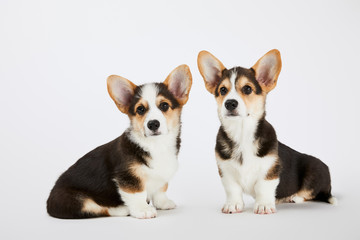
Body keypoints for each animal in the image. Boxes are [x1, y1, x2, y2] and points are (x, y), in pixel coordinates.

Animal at [46, 64, 193, 218]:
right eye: (140, 109)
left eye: (164, 105)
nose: (153, 124)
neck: (157, 145)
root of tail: (48, 203)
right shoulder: (127, 177)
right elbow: (137, 193)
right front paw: (143, 209)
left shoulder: (162, 176)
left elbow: (161, 189)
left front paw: (163, 203)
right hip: (75, 199)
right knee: (99, 208)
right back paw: (124, 209)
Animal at [197, 49, 334, 215]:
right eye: (223, 90)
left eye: (247, 89)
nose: (229, 103)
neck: (242, 133)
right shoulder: (226, 170)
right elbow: (232, 189)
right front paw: (233, 204)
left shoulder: (270, 170)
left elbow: (263, 187)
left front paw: (263, 205)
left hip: (314, 171)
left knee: (309, 194)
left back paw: (293, 197)